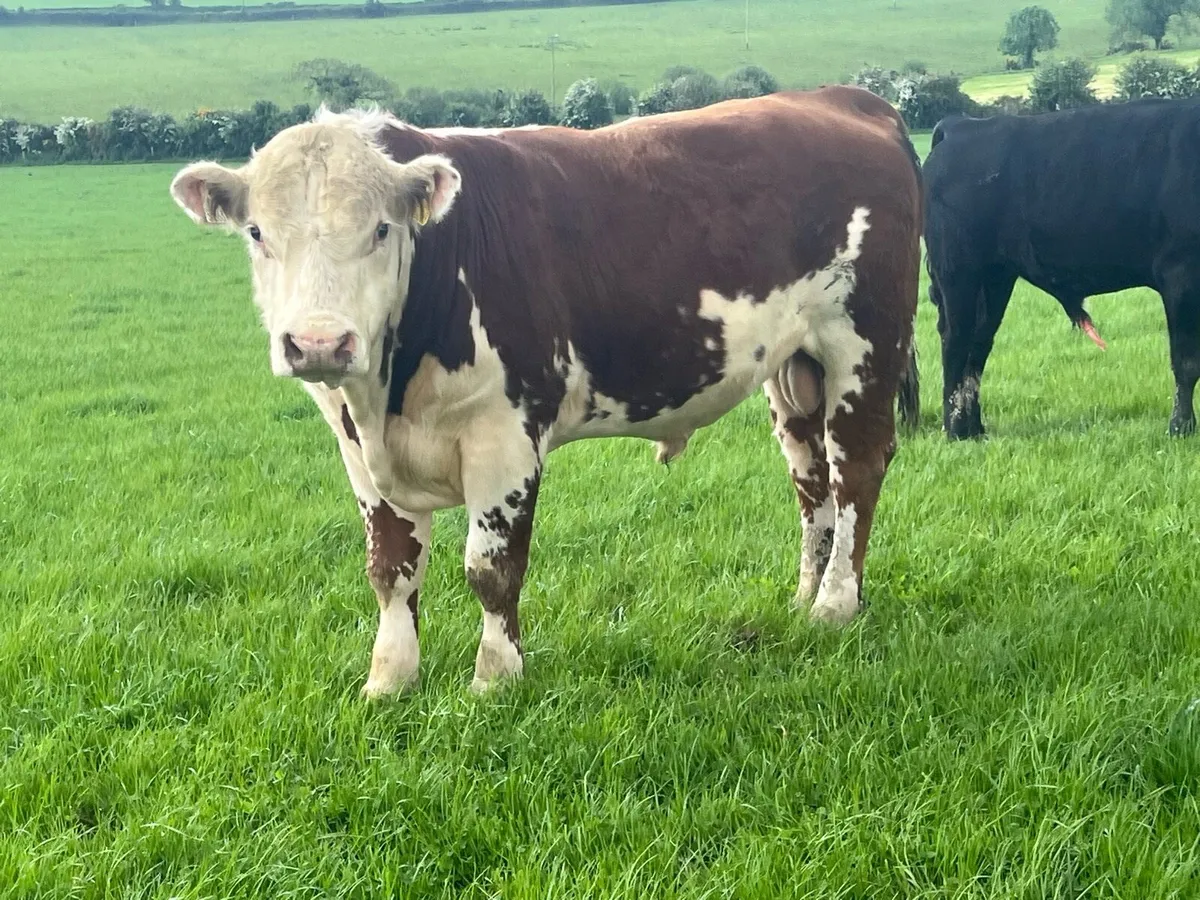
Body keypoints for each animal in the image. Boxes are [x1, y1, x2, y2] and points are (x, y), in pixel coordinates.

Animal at [168, 86, 922, 696]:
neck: (387, 395)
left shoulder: (506, 433)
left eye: (382, 228)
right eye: (258, 233)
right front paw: (389, 681)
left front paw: (495, 679)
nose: (320, 343)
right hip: (794, 371)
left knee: (855, 469)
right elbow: (391, 569)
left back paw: (835, 607)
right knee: (811, 479)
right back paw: (805, 597)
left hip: (861, 343)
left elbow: (491, 566)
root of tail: (846, 98)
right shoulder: (360, 451)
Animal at [917, 99, 1200, 441]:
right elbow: (1186, 362)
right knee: (956, 342)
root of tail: (962, 125)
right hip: (959, 273)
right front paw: (1181, 427)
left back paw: (975, 429)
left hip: (995, 278)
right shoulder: (1180, 274)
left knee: (978, 345)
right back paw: (956, 430)